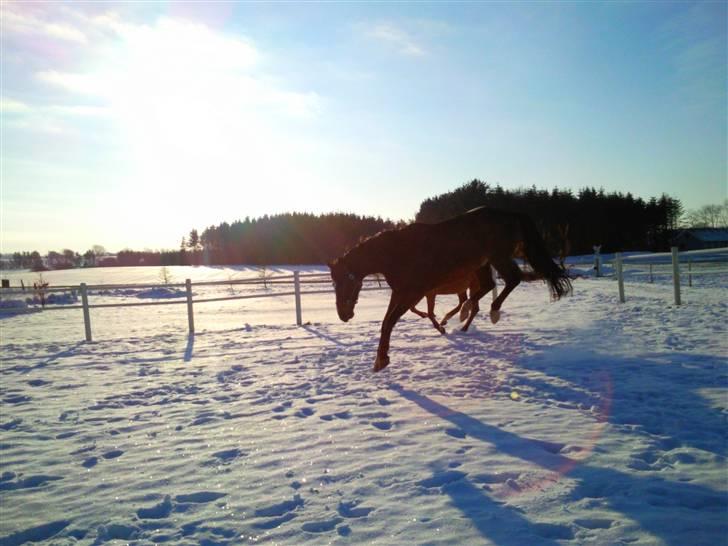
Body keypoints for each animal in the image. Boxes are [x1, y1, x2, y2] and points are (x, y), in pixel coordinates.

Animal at [328, 206, 572, 372]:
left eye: (343, 282)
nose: (343, 315)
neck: (398, 253)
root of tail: (511, 213)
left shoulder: (414, 293)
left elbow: (391, 322)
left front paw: (381, 361)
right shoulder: (400, 293)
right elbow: (386, 322)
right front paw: (381, 359)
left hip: (498, 258)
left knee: (513, 279)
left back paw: (489, 312)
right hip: (482, 265)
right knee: (488, 286)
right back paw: (464, 314)